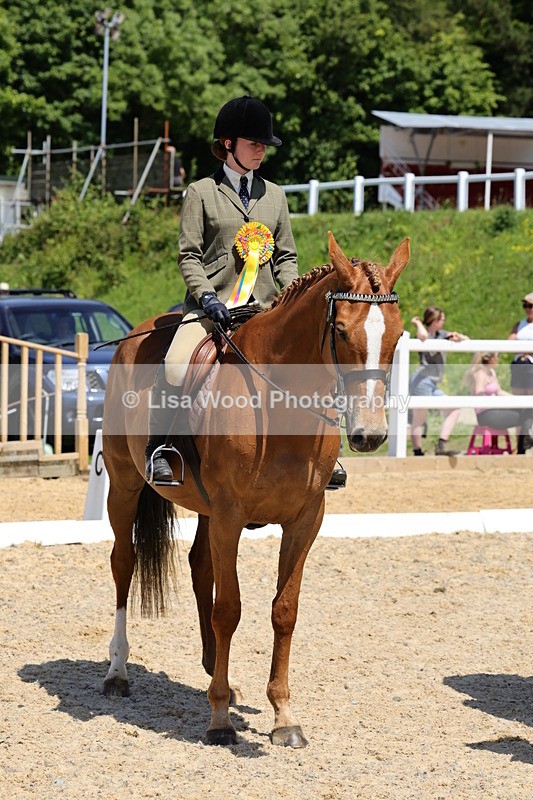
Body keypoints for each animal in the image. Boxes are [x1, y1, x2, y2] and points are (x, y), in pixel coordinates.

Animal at [101, 231, 409, 748]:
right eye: (341, 330)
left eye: (398, 334)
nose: (369, 435)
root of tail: (140, 332)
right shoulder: (231, 514)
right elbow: (229, 609)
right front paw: (220, 720)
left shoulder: (305, 519)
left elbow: (284, 610)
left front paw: (283, 716)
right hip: (125, 485)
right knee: (124, 563)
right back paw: (118, 673)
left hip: (205, 509)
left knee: (200, 566)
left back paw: (215, 672)